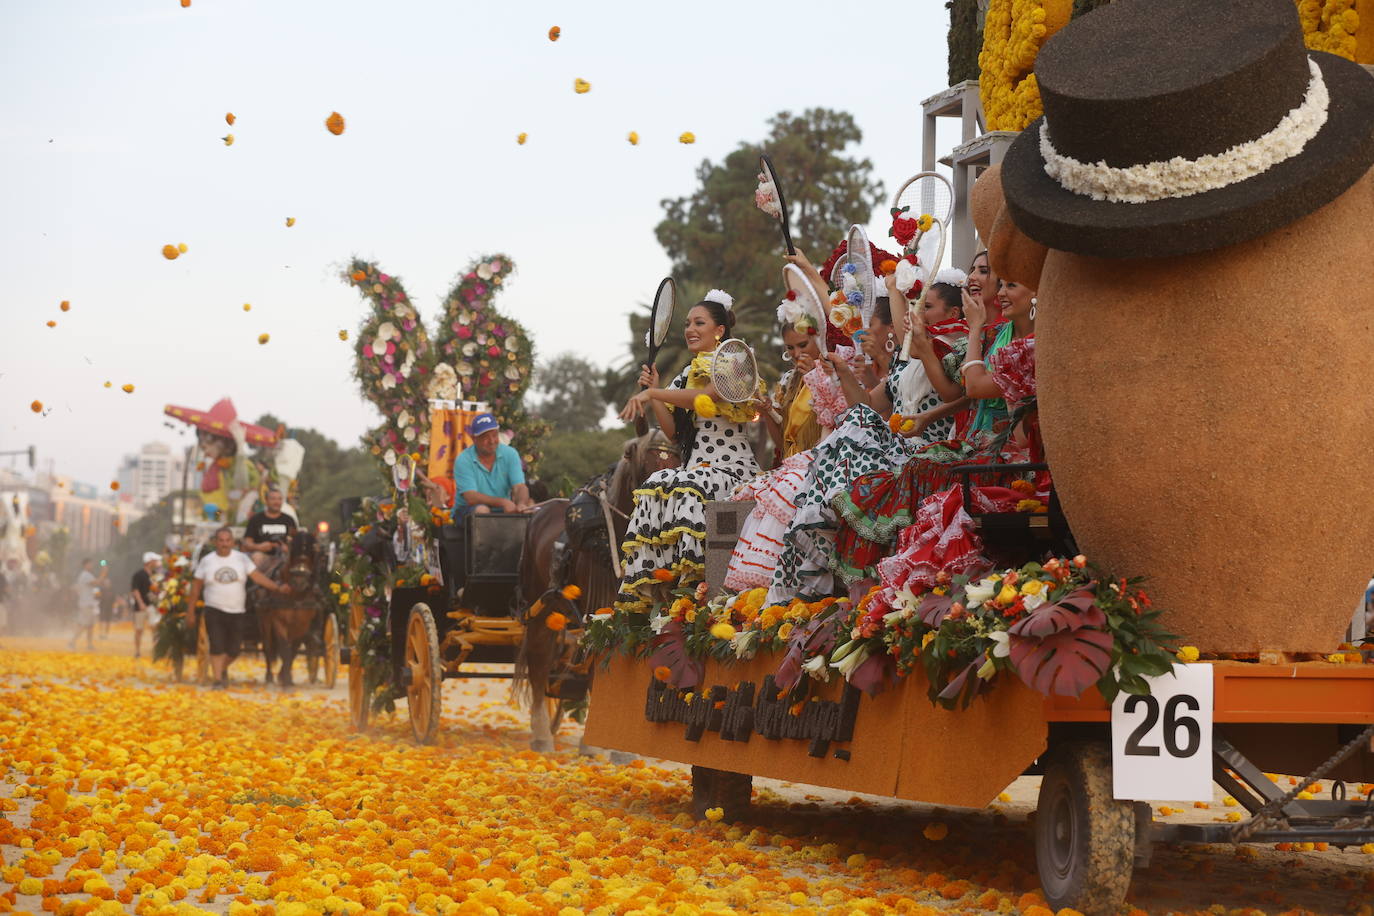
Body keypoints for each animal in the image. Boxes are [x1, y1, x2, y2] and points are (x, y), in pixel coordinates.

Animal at [255, 530, 324, 686]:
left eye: (313, 551)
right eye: (293, 549)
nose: (300, 581)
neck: (296, 595)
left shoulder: (303, 624)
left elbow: (293, 650)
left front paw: (286, 677)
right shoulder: (279, 621)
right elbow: (284, 649)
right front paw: (284, 680)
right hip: (264, 620)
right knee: (268, 646)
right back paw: (269, 677)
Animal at [513, 431, 678, 752]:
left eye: (677, 461)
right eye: (645, 467)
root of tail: (539, 511)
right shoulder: (598, 614)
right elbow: (595, 669)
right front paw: (592, 745)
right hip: (540, 606)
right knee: (539, 661)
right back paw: (541, 734)